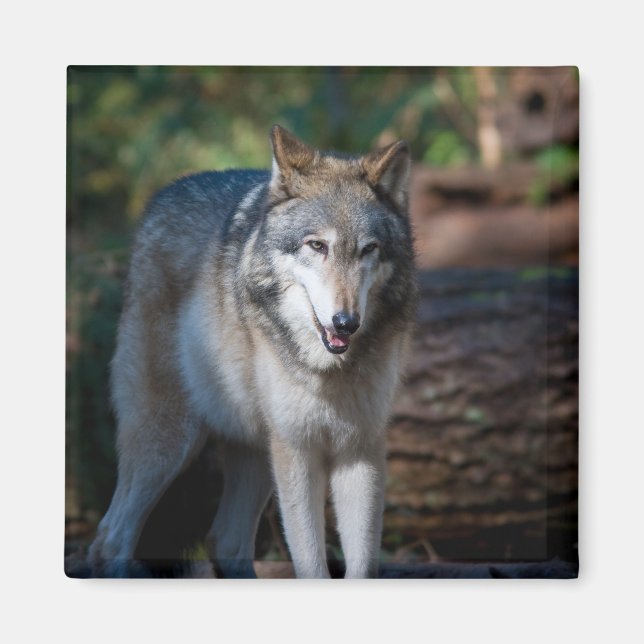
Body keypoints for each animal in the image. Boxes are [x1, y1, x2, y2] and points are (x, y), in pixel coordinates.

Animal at [87, 125, 417, 578]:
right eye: (317, 246)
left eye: (369, 249)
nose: (345, 322)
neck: (330, 371)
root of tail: (162, 197)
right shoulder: (297, 449)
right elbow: (312, 565)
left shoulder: (360, 450)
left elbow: (362, 566)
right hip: (170, 441)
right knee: (110, 537)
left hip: (257, 450)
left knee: (225, 539)